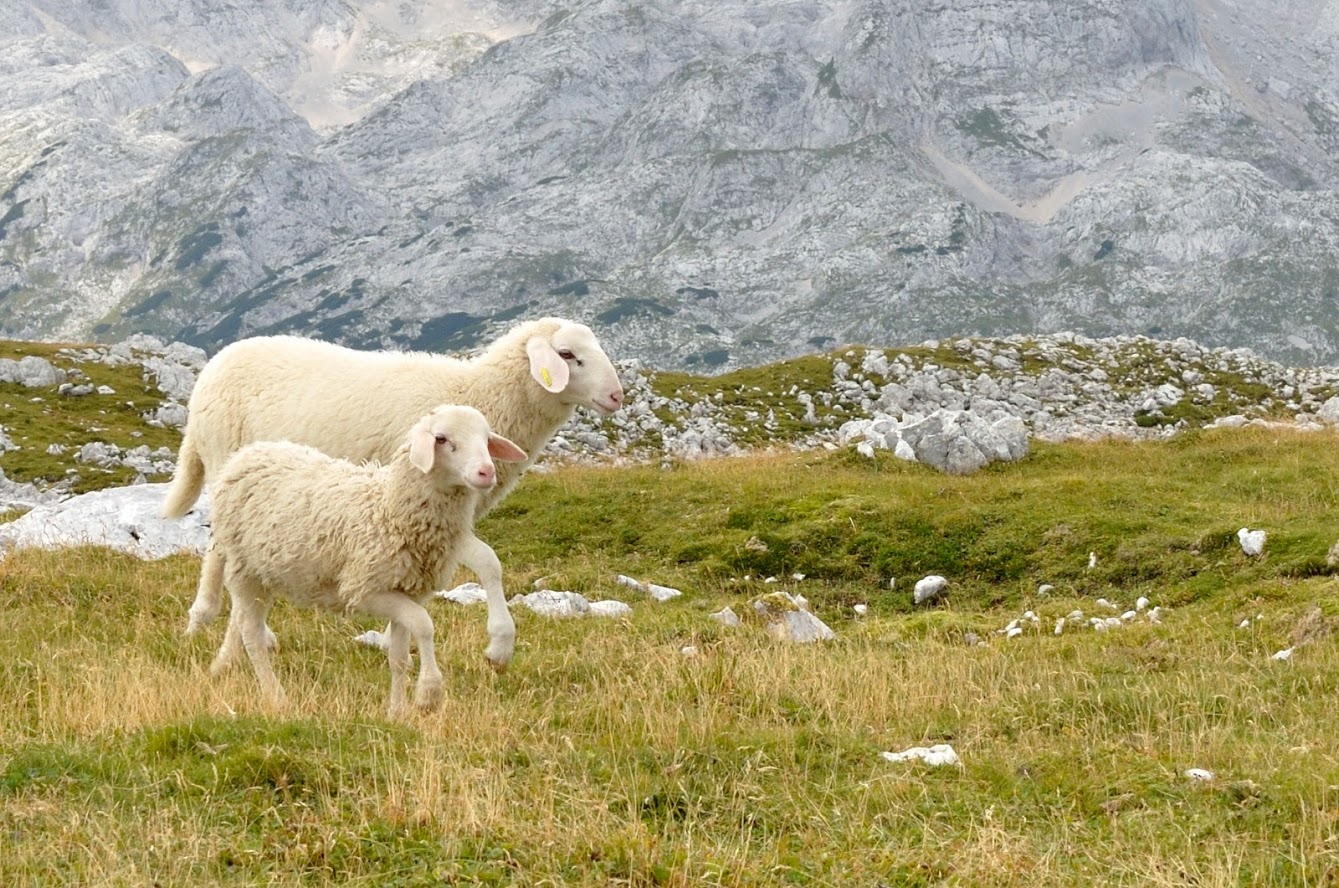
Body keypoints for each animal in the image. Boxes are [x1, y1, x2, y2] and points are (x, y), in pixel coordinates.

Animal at [163, 317, 624, 638]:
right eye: (567, 355)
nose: (617, 395)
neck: (475, 390)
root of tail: (213, 366)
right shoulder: (422, 505)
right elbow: (487, 563)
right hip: (224, 459)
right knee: (218, 551)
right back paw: (202, 620)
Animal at [204, 404, 528, 715]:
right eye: (441, 438)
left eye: (487, 439)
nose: (486, 472)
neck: (389, 510)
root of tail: (247, 454)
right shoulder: (363, 590)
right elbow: (424, 624)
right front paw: (428, 693)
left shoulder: (407, 590)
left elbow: (399, 655)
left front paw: (397, 713)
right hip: (243, 567)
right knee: (251, 633)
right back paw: (276, 697)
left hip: (262, 572)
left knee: (243, 621)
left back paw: (224, 665)